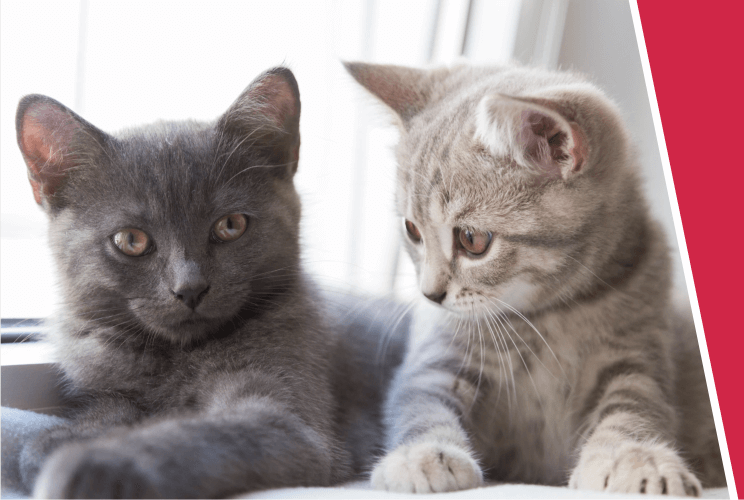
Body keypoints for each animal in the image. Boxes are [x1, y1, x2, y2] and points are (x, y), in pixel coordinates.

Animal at [346, 62, 724, 496]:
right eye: (412, 230)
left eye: (472, 240)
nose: (430, 294)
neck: (551, 313)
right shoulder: (441, 356)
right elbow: (419, 400)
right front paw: (421, 455)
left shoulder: (634, 355)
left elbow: (633, 407)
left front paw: (636, 458)